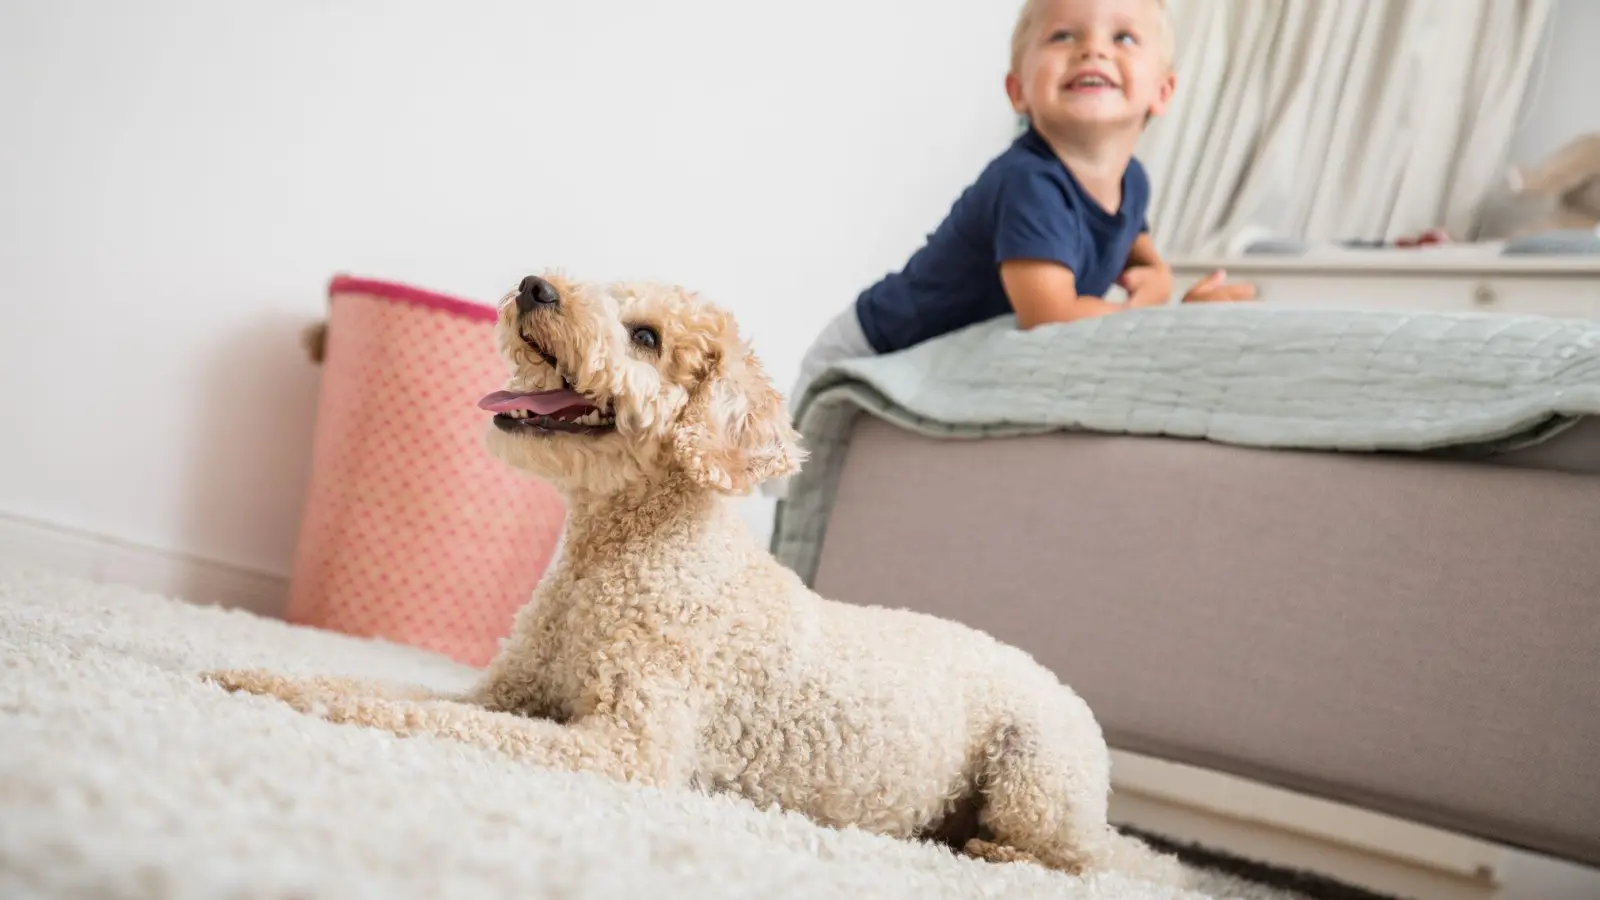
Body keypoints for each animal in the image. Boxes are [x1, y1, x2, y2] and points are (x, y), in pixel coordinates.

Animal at [206, 273, 1190, 883]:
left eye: (645, 338)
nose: (534, 285)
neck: (621, 558)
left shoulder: (626, 745)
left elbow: (413, 716)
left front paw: (305, 699)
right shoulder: (505, 693)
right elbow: (383, 689)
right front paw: (253, 673)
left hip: (1035, 781)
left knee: (1089, 860)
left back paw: (994, 855)